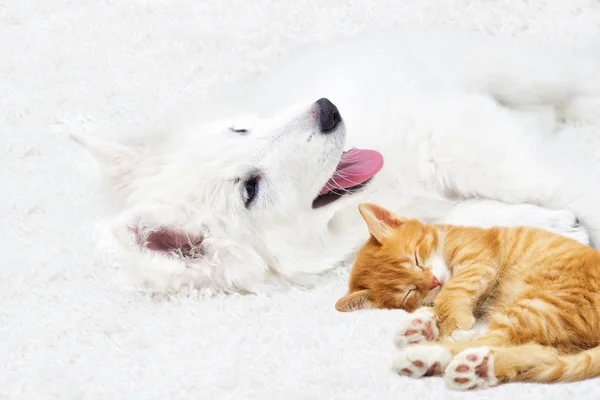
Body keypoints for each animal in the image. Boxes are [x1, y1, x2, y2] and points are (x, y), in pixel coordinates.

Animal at [72, 27, 600, 290]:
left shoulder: (455, 130)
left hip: (512, 71)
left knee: (569, 79)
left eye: (240, 129)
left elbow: (553, 178)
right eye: (251, 189)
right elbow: (469, 215)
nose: (327, 110)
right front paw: (551, 226)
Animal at [336, 202, 600, 390]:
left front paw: (447, 323)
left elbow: (452, 290)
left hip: (542, 305)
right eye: (409, 291)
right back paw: (472, 367)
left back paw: (431, 355)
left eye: (416, 259)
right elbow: (440, 299)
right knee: (542, 352)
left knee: (495, 340)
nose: (433, 282)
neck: (446, 236)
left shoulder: (479, 257)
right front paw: (424, 323)